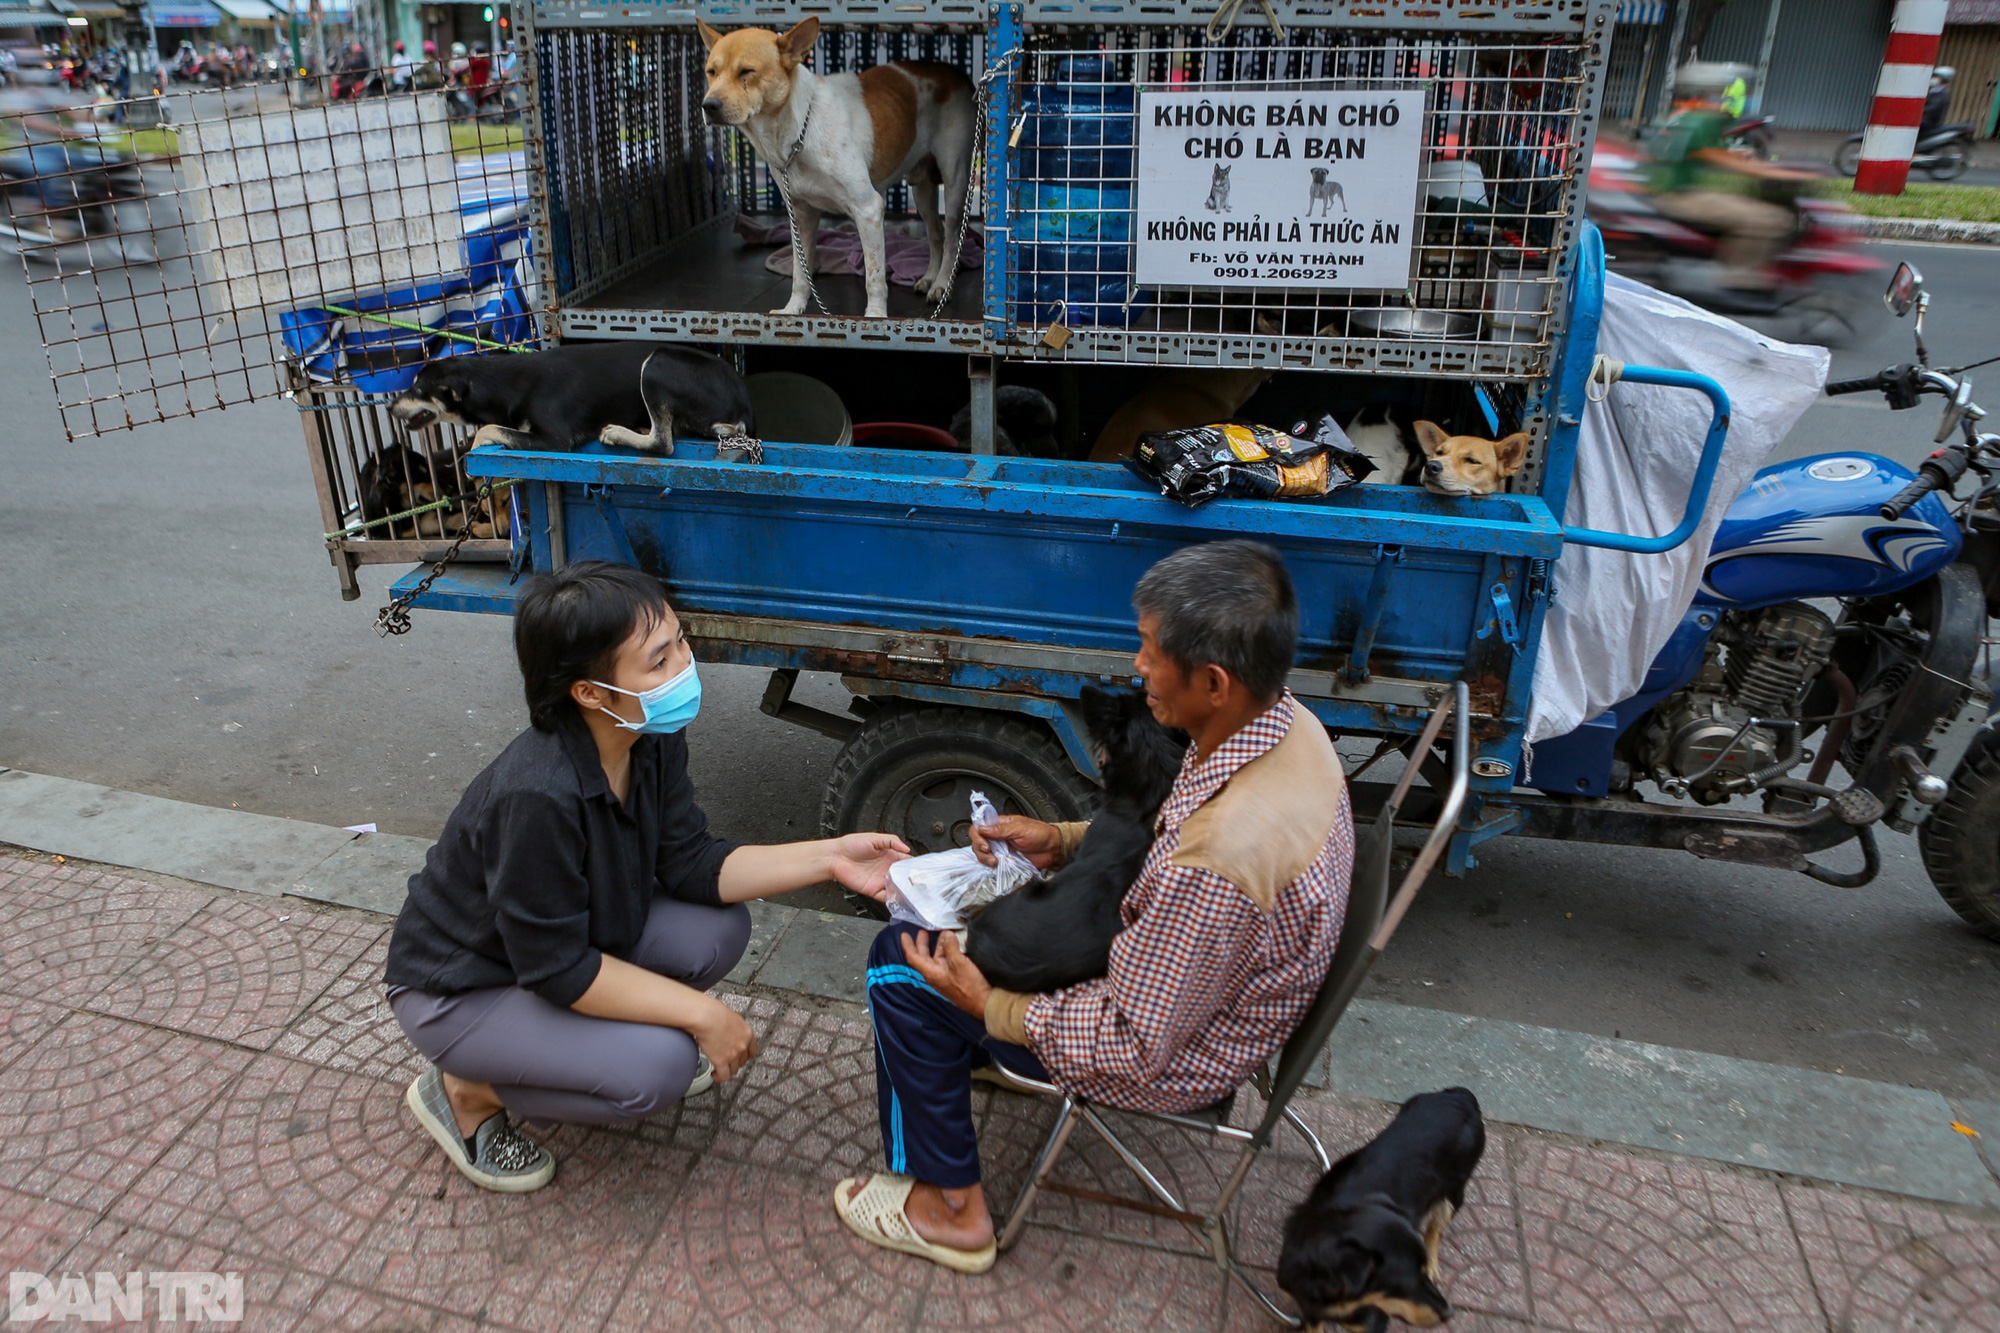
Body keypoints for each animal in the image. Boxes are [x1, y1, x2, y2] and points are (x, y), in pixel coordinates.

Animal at [700, 14, 980, 318]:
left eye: (747, 71)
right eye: (711, 72)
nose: (708, 105)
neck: (798, 130)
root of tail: (954, 72)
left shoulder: (869, 209)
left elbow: (874, 276)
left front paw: (876, 318)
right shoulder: (800, 215)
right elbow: (800, 272)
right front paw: (793, 309)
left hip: (954, 182)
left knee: (951, 236)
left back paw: (942, 285)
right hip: (922, 189)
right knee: (935, 233)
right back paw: (930, 277)